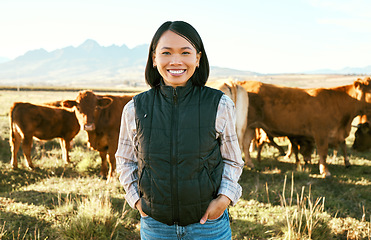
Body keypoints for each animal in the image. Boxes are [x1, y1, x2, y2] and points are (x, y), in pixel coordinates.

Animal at [240, 79, 371, 177]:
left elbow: (343, 146)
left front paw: (347, 163)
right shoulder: (321, 133)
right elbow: (323, 152)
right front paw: (325, 171)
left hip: (251, 127)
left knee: (246, 144)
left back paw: (250, 164)